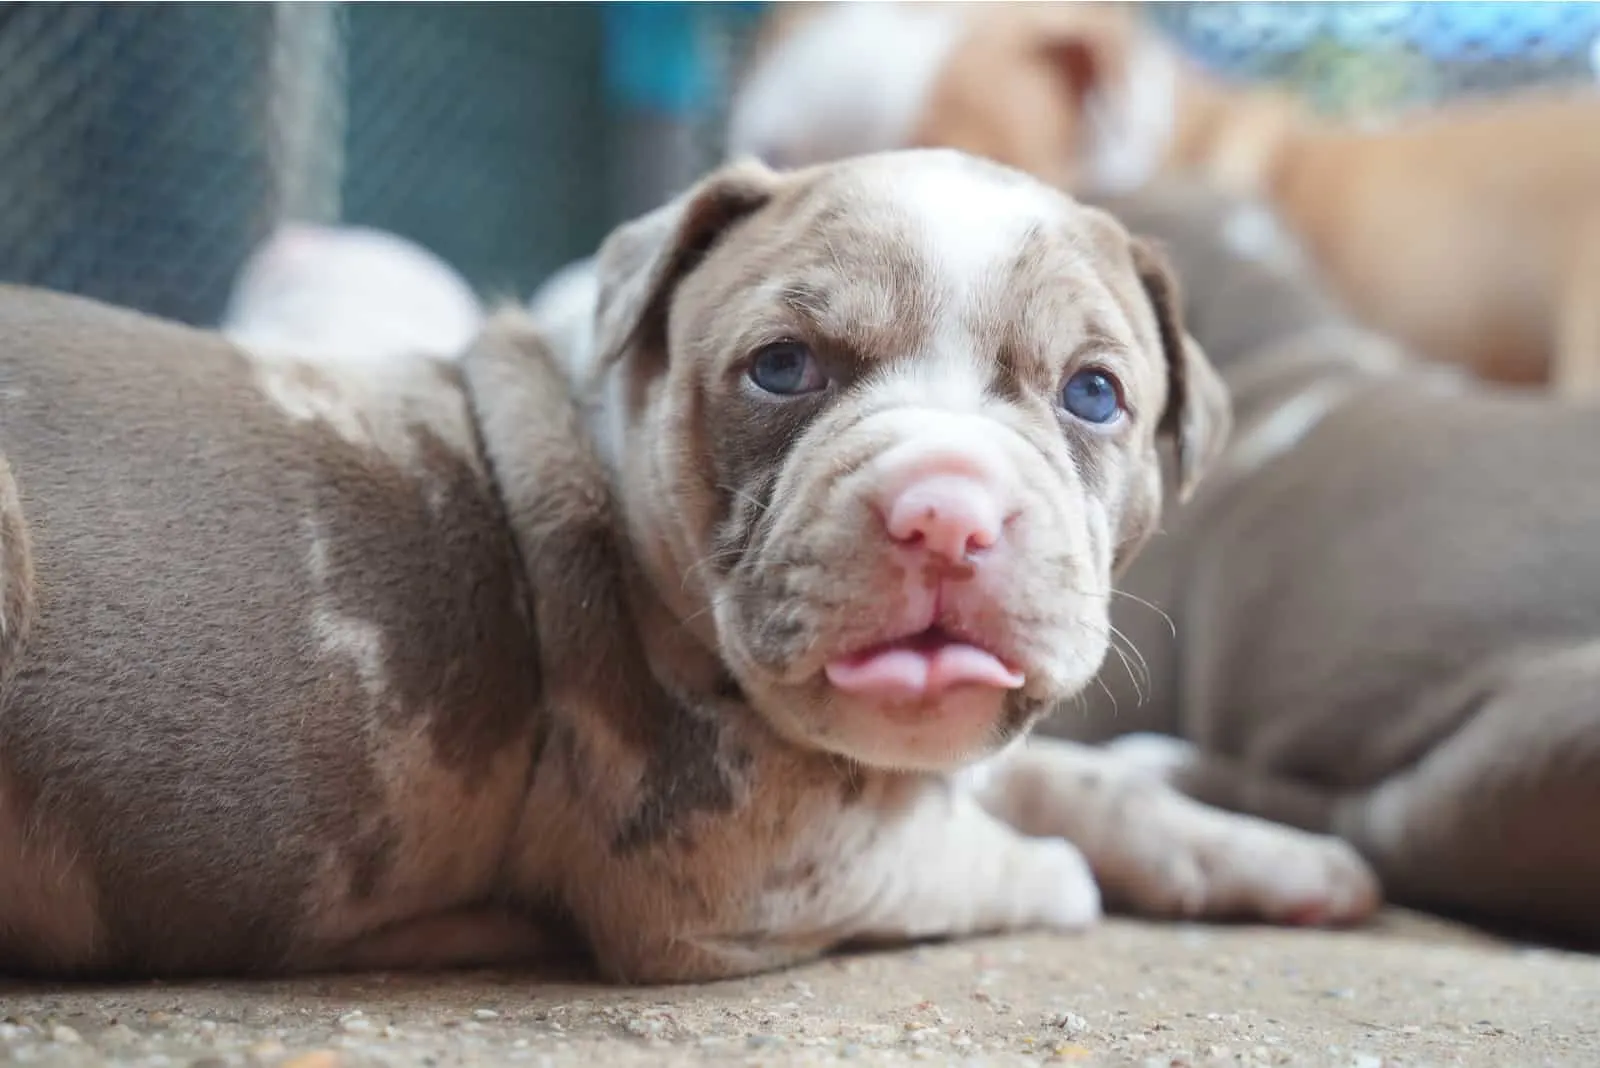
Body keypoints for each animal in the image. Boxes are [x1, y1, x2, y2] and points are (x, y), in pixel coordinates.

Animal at [0, 150, 1376, 984]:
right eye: (781, 368)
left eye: (1094, 394)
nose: (946, 513)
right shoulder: (750, 875)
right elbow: (1003, 858)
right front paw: (1068, 874)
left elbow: (1070, 783)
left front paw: (1272, 859)